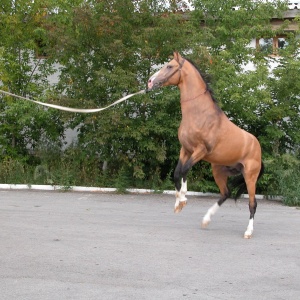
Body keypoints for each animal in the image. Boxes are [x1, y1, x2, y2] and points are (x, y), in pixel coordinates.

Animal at [147, 51, 262, 239]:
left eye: (169, 66)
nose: (150, 81)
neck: (200, 114)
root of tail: (256, 146)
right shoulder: (185, 149)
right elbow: (177, 173)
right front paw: (178, 203)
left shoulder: (200, 151)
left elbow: (184, 170)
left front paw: (183, 199)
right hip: (218, 170)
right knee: (225, 193)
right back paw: (206, 220)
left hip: (250, 177)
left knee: (253, 203)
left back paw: (248, 232)